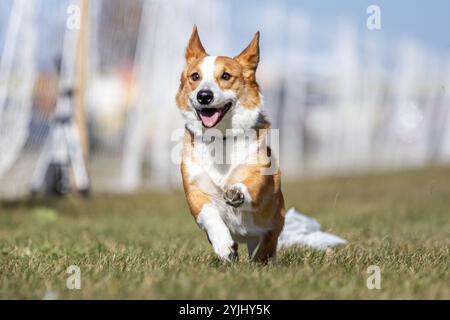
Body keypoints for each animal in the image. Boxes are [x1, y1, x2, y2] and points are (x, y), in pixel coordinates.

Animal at [176, 26, 284, 262]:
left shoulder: (260, 173)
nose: (204, 96)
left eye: (226, 76)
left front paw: (237, 193)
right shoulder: (194, 190)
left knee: (266, 243)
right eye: (195, 77)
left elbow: (250, 185)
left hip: (274, 221)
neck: (221, 137)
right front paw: (224, 246)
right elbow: (209, 212)